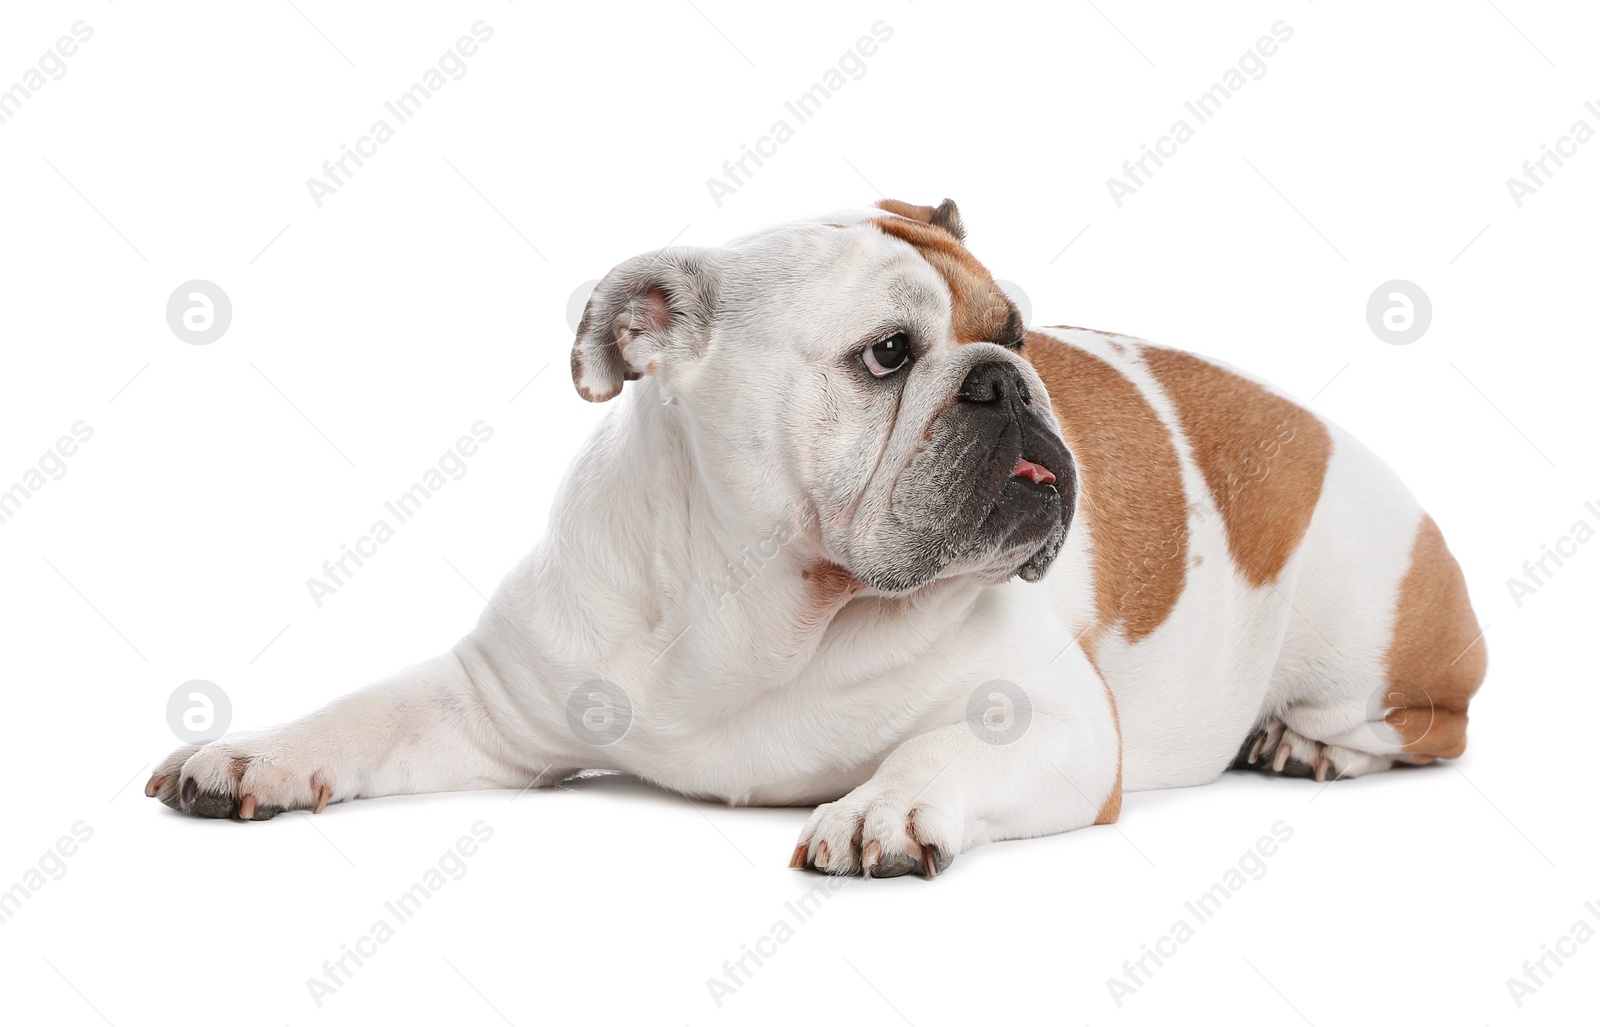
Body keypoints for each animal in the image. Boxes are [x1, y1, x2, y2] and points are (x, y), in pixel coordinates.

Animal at [150, 198, 1484, 870]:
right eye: (887, 355)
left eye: (1019, 330)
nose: (1008, 380)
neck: (768, 603)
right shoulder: (489, 700)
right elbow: (362, 713)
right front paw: (251, 753)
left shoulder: (1056, 723)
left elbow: (941, 751)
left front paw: (881, 809)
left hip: (1367, 621)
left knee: (1426, 722)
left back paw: (1301, 744)